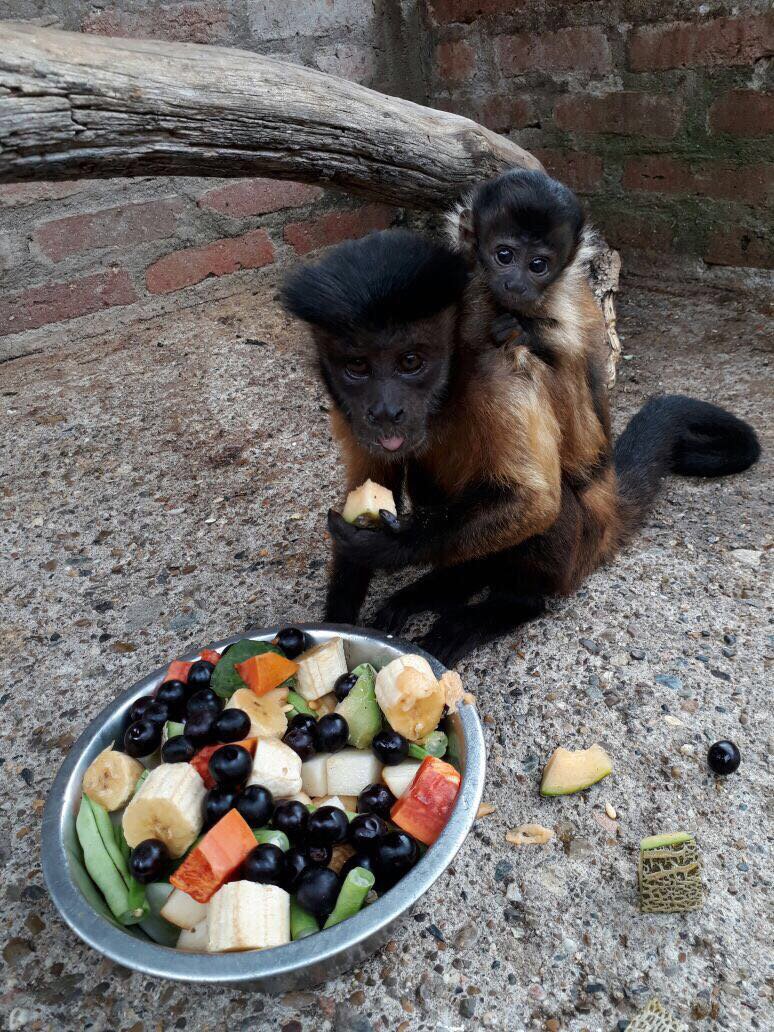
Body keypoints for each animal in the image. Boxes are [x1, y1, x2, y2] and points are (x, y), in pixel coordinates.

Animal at [281, 213, 760, 665]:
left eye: (411, 361)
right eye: (357, 367)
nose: (385, 410)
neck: (449, 386)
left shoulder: (498, 368)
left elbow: (535, 501)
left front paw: (391, 547)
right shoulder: (347, 411)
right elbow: (366, 487)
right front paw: (337, 629)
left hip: (579, 546)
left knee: (551, 508)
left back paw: (506, 605)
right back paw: (449, 585)